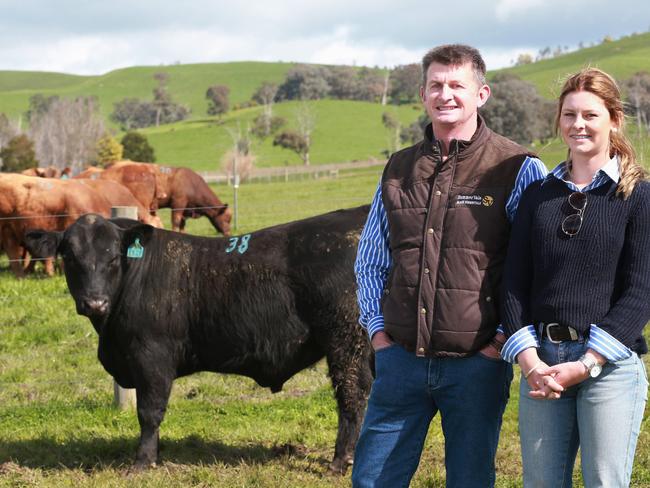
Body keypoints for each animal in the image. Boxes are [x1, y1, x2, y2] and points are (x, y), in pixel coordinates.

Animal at [24, 206, 370, 472]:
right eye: (70, 257)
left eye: (112, 257)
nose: (95, 302)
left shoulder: (152, 358)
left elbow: (149, 412)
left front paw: (143, 462)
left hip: (346, 341)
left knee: (352, 397)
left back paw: (340, 462)